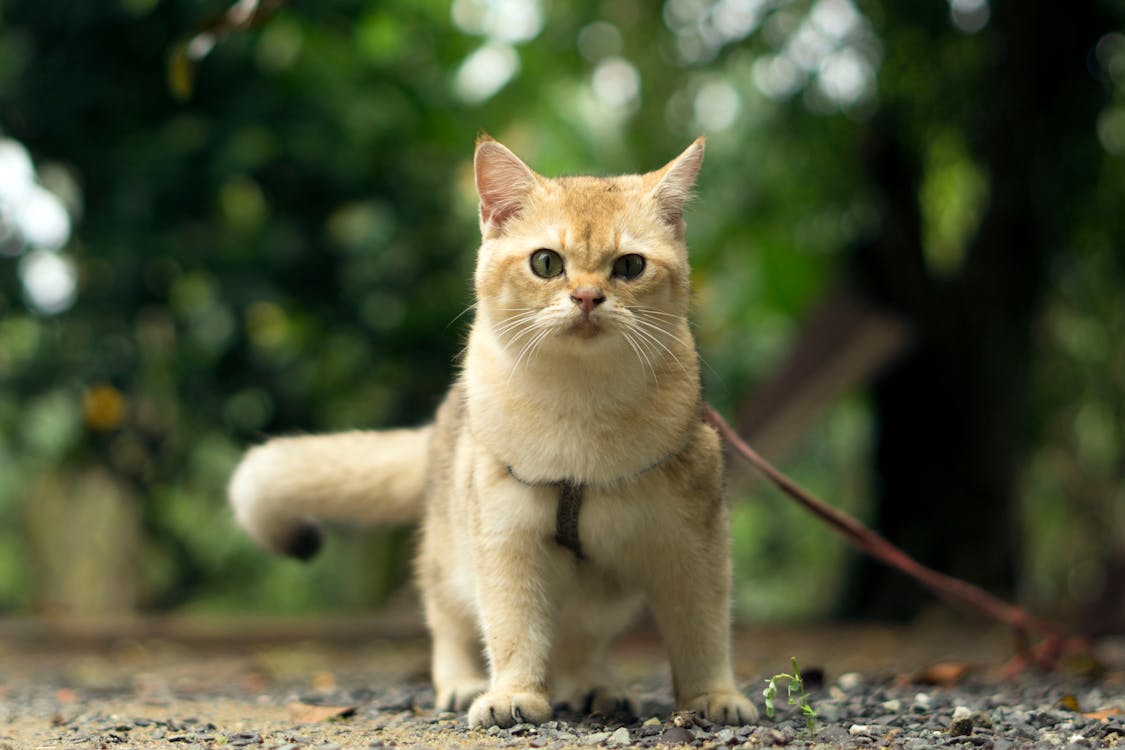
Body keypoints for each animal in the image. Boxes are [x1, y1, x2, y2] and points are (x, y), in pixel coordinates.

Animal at [227, 134, 756, 728]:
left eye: (630, 266)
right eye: (547, 263)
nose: (587, 298)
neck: (581, 409)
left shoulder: (694, 541)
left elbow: (702, 631)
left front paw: (713, 696)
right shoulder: (506, 536)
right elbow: (512, 627)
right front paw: (514, 695)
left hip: (598, 596)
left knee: (576, 641)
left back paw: (593, 686)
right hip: (449, 558)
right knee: (450, 625)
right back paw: (464, 684)